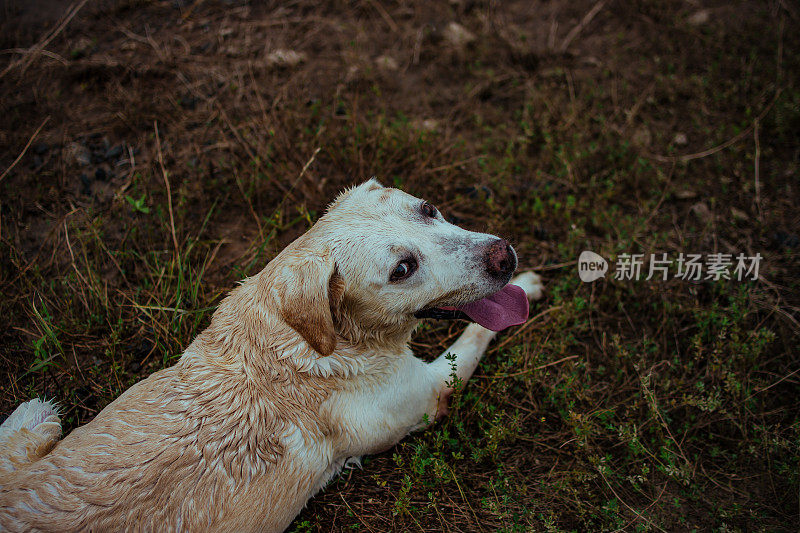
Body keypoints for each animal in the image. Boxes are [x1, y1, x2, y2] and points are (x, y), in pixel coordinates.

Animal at [1, 181, 544, 528]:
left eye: (428, 208)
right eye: (402, 269)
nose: (505, 256)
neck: (318, 339)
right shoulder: (430, 393)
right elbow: (473, 336)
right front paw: (529, 285)